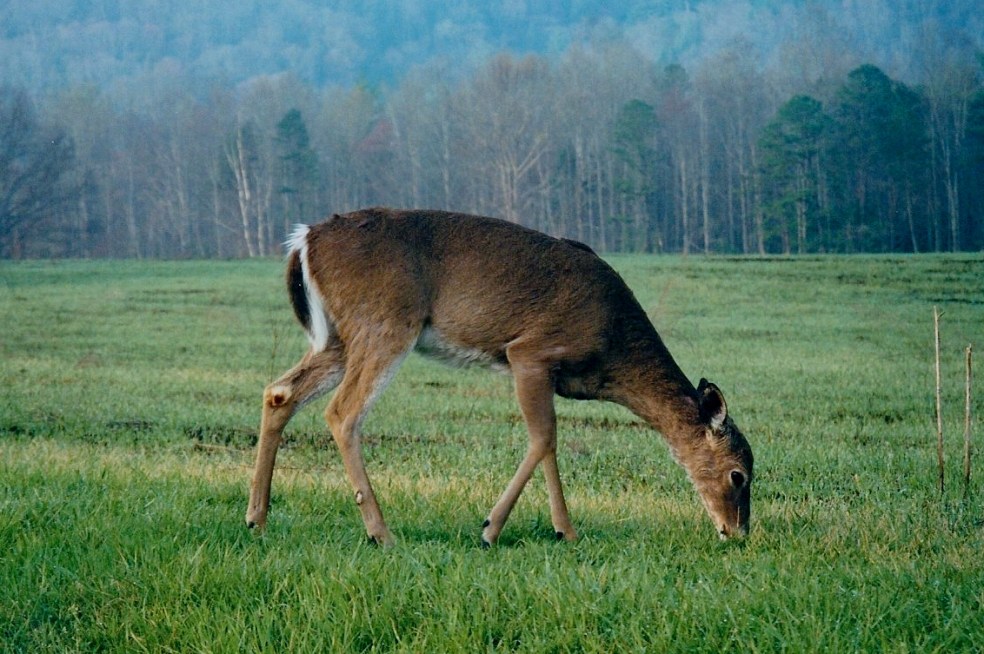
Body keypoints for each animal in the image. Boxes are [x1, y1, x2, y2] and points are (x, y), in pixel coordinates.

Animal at [246, 208, 753, 547]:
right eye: (739, 475)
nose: (737, 533)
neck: (611, 359)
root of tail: (304, 240)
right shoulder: (531, 350)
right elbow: (544, 436)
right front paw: (508, 529)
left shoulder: (541, 368)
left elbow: (546, 440)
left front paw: (549, 528)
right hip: (385, 321)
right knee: (343, 412)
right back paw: (381, 532)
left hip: (337, 338)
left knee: (280, 392)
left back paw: (257, 518)